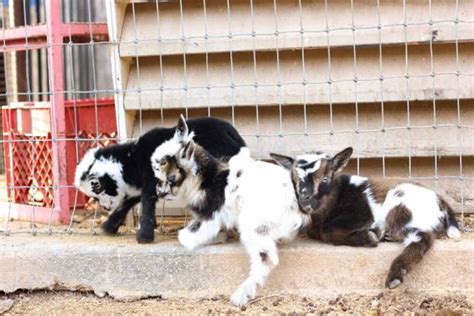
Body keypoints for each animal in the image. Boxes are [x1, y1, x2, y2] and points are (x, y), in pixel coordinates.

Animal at [75, 117, 244, 243]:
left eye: (97, 186)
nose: (104, 207)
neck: (132, 159)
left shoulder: (151, 178)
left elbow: (147, 200)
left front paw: (144, 236)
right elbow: (130, 200)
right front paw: (109, 226)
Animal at [150, 115, 310, 306]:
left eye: (170, 175)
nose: (159, 193)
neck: (208, 178)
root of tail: (297, 210)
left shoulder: (210, 215)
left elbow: (186, 237)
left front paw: (216, 238)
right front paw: (222, 236)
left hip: (254, 227)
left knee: (266, 258)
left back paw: (240, 296)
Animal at [272, 148, 462, 292]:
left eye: (325, 178)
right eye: (294, 181)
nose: (305, 202)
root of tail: (441, 202)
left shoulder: (363, 213)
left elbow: (329, 230)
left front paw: (369, 236)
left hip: (401, 207)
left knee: (421, 238)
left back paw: (394, 276)